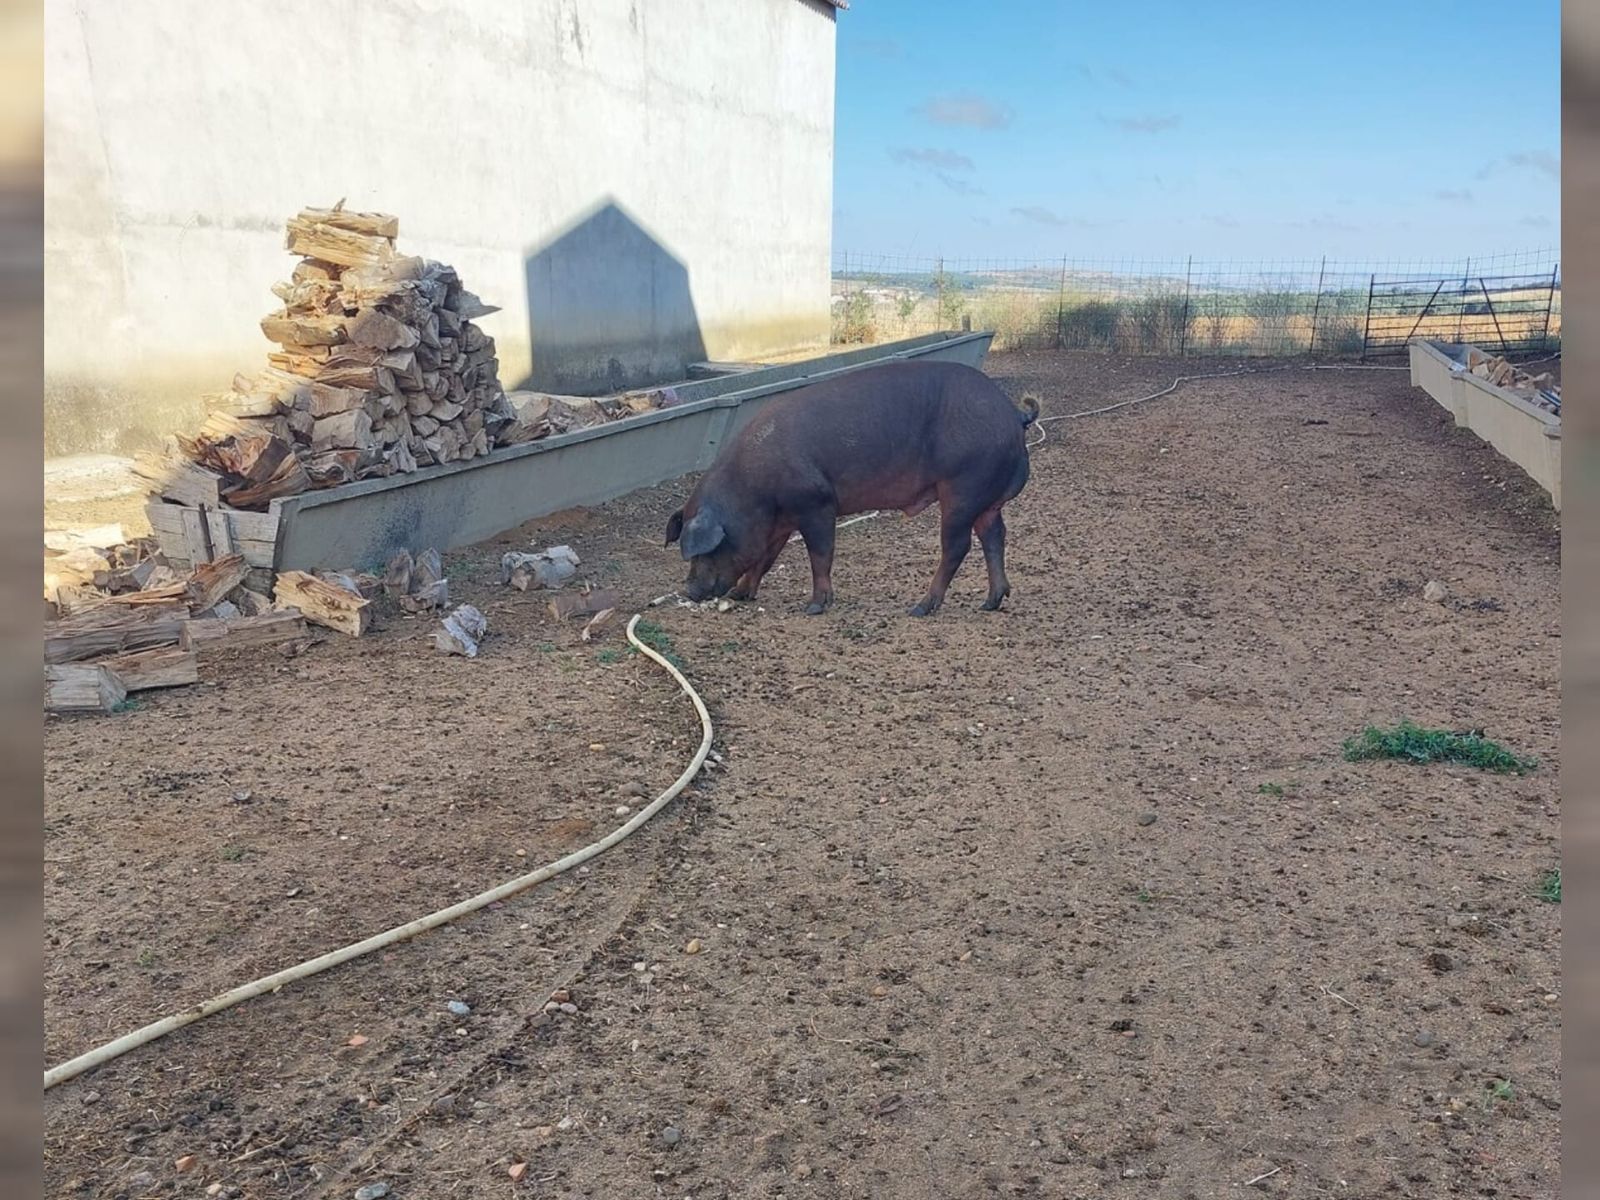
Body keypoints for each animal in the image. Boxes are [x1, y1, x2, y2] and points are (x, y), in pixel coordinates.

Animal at [664, 360, 1038, 616]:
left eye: (705, 550)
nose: (690, 590)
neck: (752, 492)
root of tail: (1013, 414)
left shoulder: (816, 503)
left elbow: (820, 554)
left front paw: (815, 607)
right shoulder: (781, 522)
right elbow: (765, 559)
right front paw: (740, 595)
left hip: (963, 488)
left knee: (957, 546)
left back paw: (920, 608)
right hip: (987, 499)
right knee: (995, 536)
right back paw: (990, 602)